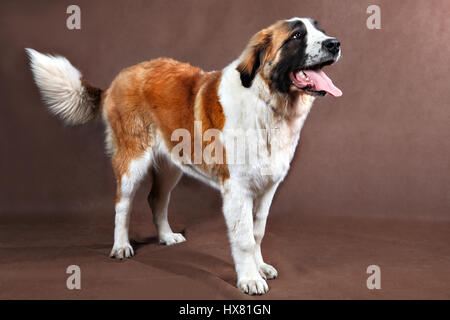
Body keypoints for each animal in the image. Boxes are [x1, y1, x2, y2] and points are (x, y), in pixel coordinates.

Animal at [27, 17, 342, 296]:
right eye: (297, 36)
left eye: (320, 30)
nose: (335, 43)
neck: (268, 104)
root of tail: (118, 79)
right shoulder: (237, 189)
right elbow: (243, 237)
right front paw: (250, 279)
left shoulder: (267, 188)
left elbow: (257, 232)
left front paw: (260, 266)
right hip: (133, 161)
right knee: (122, 205)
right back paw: (120, 246)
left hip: (171, 166)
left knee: (156, 198)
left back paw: (166, 237)